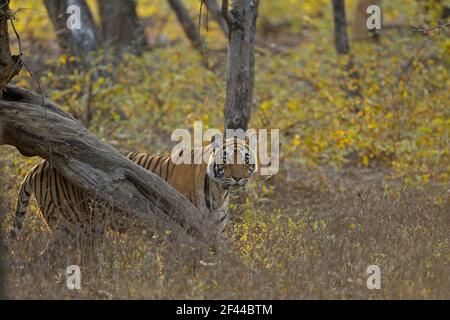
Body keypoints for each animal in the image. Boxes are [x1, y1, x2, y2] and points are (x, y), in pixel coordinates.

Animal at [10, 136, 256, 242]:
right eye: (226, 160)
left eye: (245, 160)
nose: (238, 178)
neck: (218, 191)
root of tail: (39, 165)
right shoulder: (178, 226)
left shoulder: (216, 230)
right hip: (70, 226)